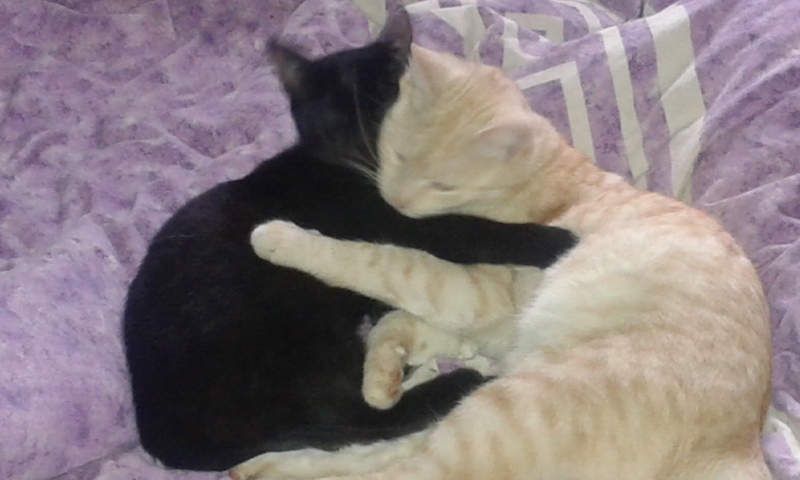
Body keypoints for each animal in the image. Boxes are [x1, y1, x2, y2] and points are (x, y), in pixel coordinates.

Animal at [122, 13, 576, 472]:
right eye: (336, 122)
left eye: (388, 105)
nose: (370, 143)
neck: (352, 171)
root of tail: (163, 436)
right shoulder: (407, 223)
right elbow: (477, 231)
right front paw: (556, 239)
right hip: (299, 331)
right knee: (354, 415)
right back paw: (455, 381)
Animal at [235, 44, 773, 480]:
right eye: (398, 154)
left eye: (444, 184)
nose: (397, 200)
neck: (543, 179)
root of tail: (740, 448)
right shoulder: (476, 314)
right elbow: (400, 322)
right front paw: (383, 375)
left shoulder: (469, 289)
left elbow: (380, 261)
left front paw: (282, 238)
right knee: (384, 449)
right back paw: (267, 465)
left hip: (503, 415)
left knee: (405, 468)